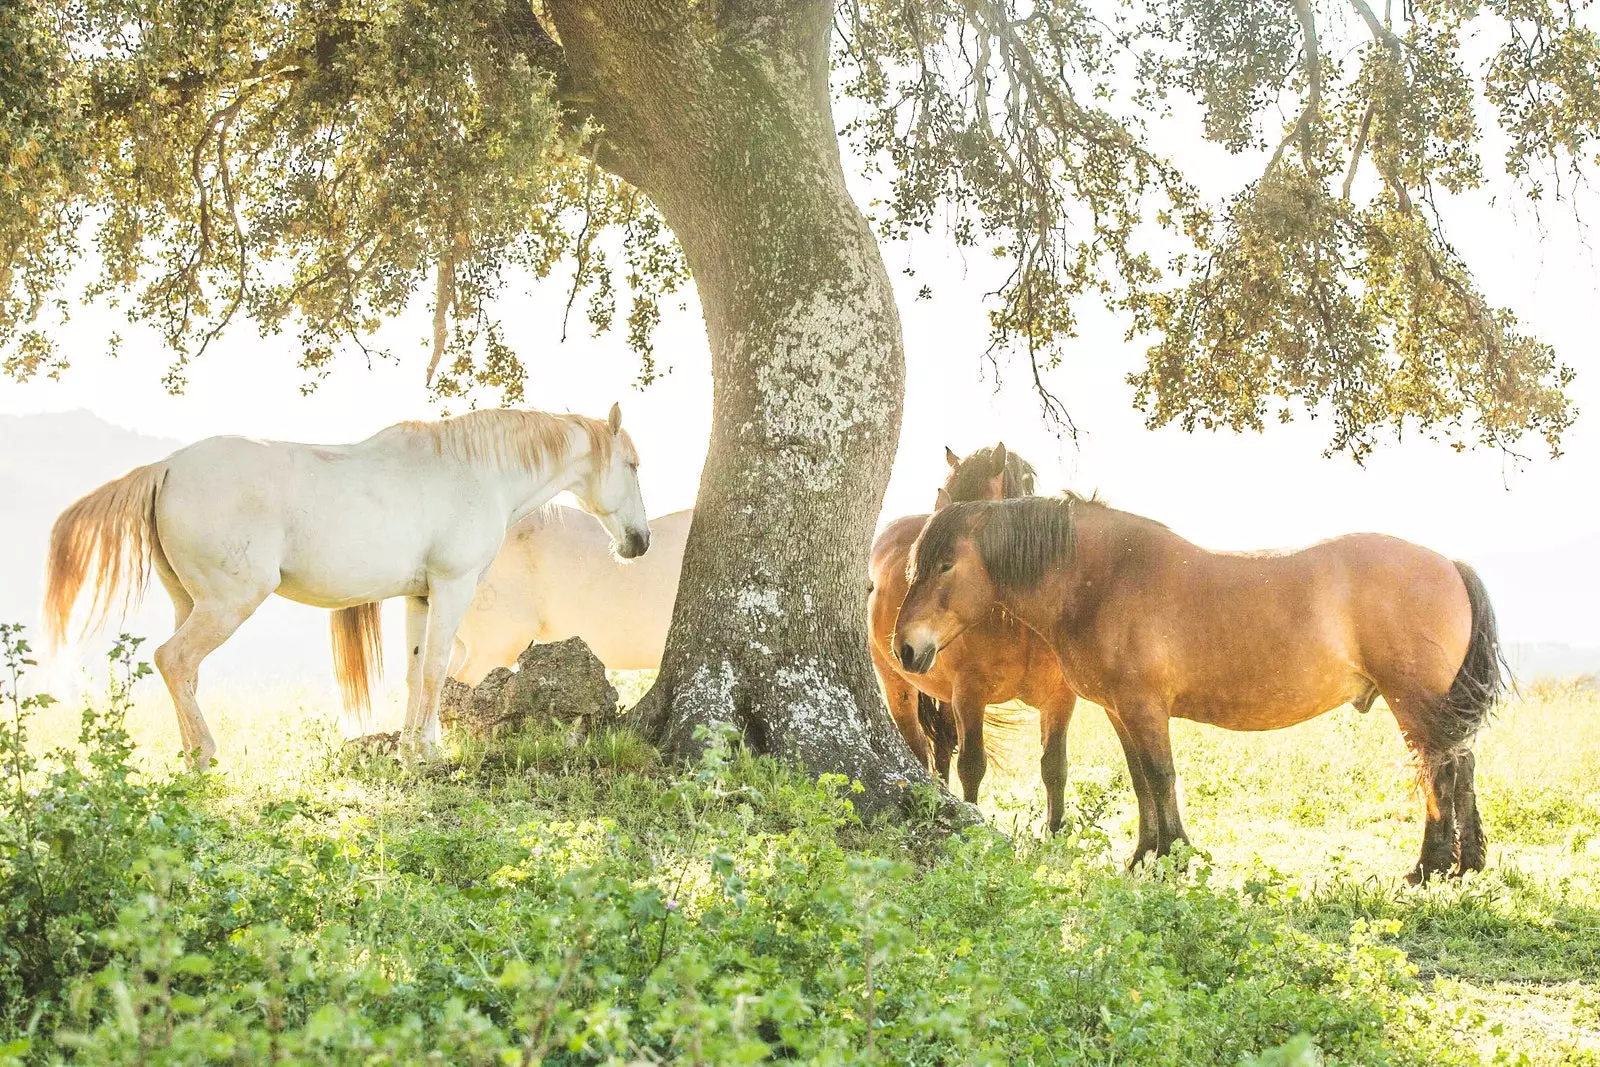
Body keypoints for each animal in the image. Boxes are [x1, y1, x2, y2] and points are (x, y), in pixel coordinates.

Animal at [46, 404, 652, 764]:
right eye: (632, 464)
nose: (640, 541)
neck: (475, 472)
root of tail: (168, 467)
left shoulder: (420, 595)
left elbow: (414, 672)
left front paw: (412, 751)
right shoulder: (452, 587)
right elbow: (436, 670)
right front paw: (428, 755)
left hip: (188, 602)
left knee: (184, 673)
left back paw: (189, 754)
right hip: (227, 604)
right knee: (173, 661)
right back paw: (206, 757)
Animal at [870, 447, 1081, 831]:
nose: (906, 645)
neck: (1016, 624)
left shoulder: (1060, 698)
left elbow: (1054, 767)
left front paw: (1055, 833)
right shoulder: (969, 694)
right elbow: (971, 766)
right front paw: (975, 820)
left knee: (941, 746)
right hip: (897, 685)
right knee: (918, 746)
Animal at [896, 495, 1504, 883]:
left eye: (945, 564)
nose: (904, 648)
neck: (1105, 578)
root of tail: (1448, 563)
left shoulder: (1145, 706)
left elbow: (1162, 776)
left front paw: (1176, 855)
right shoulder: (1121, 710)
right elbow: (1141, 779)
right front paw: (1145, 856)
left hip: (1413, 702)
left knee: (1438, 769)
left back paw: (1428, 867)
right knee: (1463, 763)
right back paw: (1467, 863)